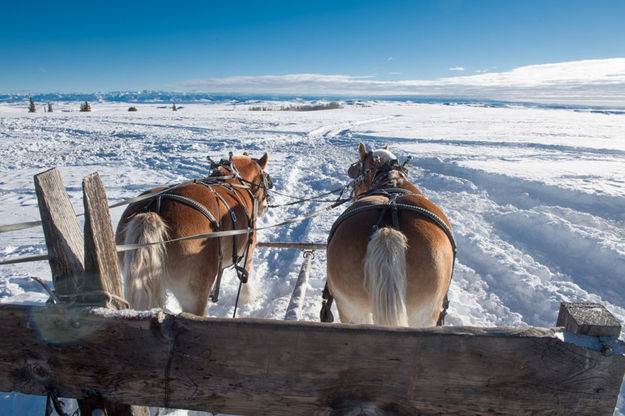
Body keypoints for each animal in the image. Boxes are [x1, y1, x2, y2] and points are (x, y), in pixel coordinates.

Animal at [116, 153, 272, 316]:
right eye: (265, 178)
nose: (266, 206)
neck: (234, 182)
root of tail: (155, 209)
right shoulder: (248, 250)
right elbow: (246, 276)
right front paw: (248, 298)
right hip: (194, 294)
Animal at [326, 145, 454, 326]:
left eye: (358, 171)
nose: (354, 194)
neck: (390, 179)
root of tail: (387, 231)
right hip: (422, 314)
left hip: (353, 309)